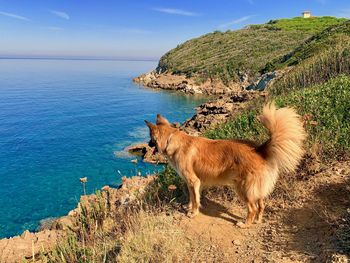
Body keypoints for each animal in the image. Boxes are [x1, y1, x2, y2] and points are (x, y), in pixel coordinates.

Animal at [144, 102, 304, 228]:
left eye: (151, 138)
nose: (148, 144)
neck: (172, 140)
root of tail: (260, 150)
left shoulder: (193, 181)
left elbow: (195, 200)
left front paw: (193, 213)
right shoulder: (192, 183)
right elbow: (192, 198)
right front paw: (189, 208)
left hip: (243, 188)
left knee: (252, 208)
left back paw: (245, 224)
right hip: (256, 189)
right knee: (261, 205)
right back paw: (258, 221)